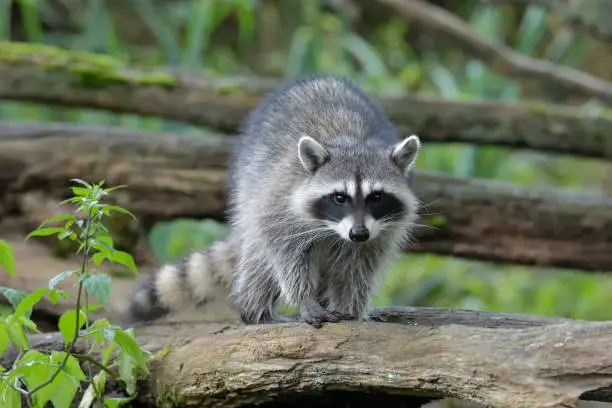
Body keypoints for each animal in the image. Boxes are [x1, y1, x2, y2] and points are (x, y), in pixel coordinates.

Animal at [122, 74, 424, 328]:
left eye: (377, 197)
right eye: (340, 197)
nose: (358, 233)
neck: (353, 142)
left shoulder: (381, 231)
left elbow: (357, 268)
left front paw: (350, 306)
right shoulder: (280, 202)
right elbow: (284, 253)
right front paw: (303, 298)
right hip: (249, 185)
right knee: (259, 259)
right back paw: (256, 309)